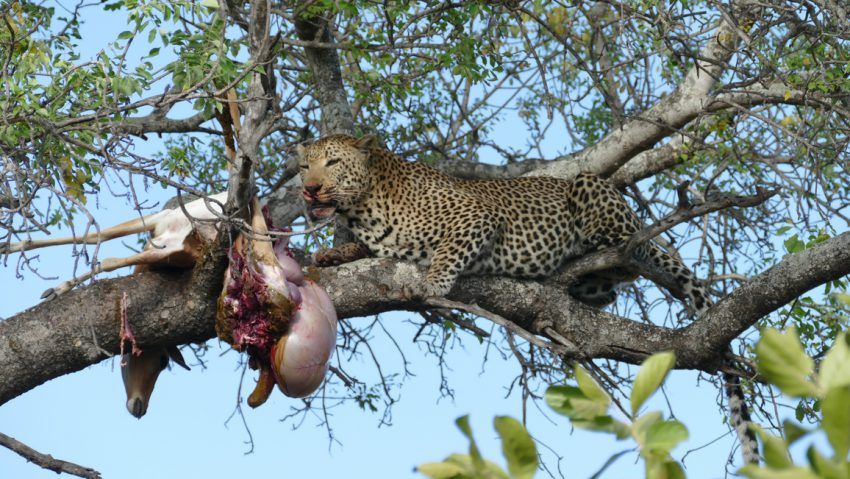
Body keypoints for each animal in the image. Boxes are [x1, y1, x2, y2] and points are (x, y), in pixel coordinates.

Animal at [296, 134, 756, 464]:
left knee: (632, 251)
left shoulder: (476, 217)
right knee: (609, 290)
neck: (364, 207)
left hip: (592, 189)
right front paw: (331, 253)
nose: (310, 190)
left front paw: (431, 285)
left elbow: (445, 255)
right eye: (304, 167)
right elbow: (360, 250)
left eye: (333, 163)